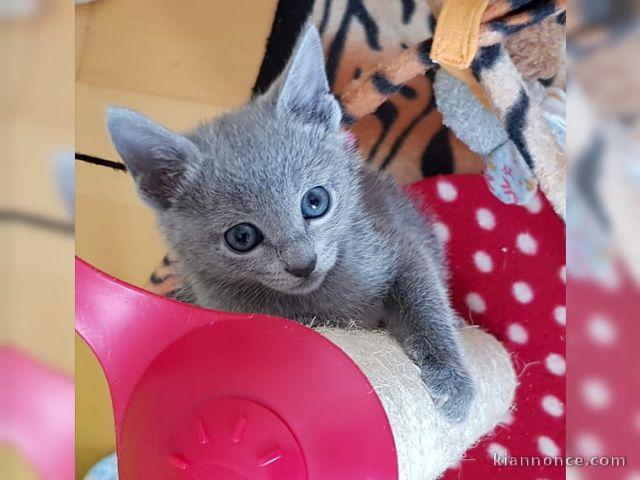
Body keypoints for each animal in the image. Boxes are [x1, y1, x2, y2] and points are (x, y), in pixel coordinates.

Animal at [106, 24, 476, 422]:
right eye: (242, 236)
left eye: (315, 202)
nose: (303, 264)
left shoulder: (394, 244)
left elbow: (424, 295)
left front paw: (451, 379)